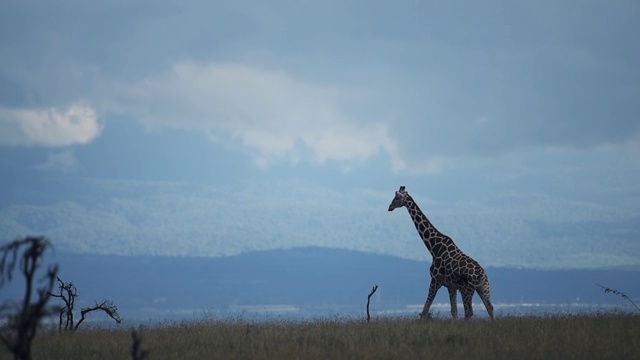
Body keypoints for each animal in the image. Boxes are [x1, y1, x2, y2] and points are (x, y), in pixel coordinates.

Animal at [384, 187, 496, 320]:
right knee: (490, 308)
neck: (434, 247)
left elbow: (425, 311)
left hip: (467, 289)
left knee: (469, 312)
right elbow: (454, 312)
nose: (389, 207)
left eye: (396, 198)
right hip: (483, 287)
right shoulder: (451, 286)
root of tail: (481, 274)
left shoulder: (435, 280)